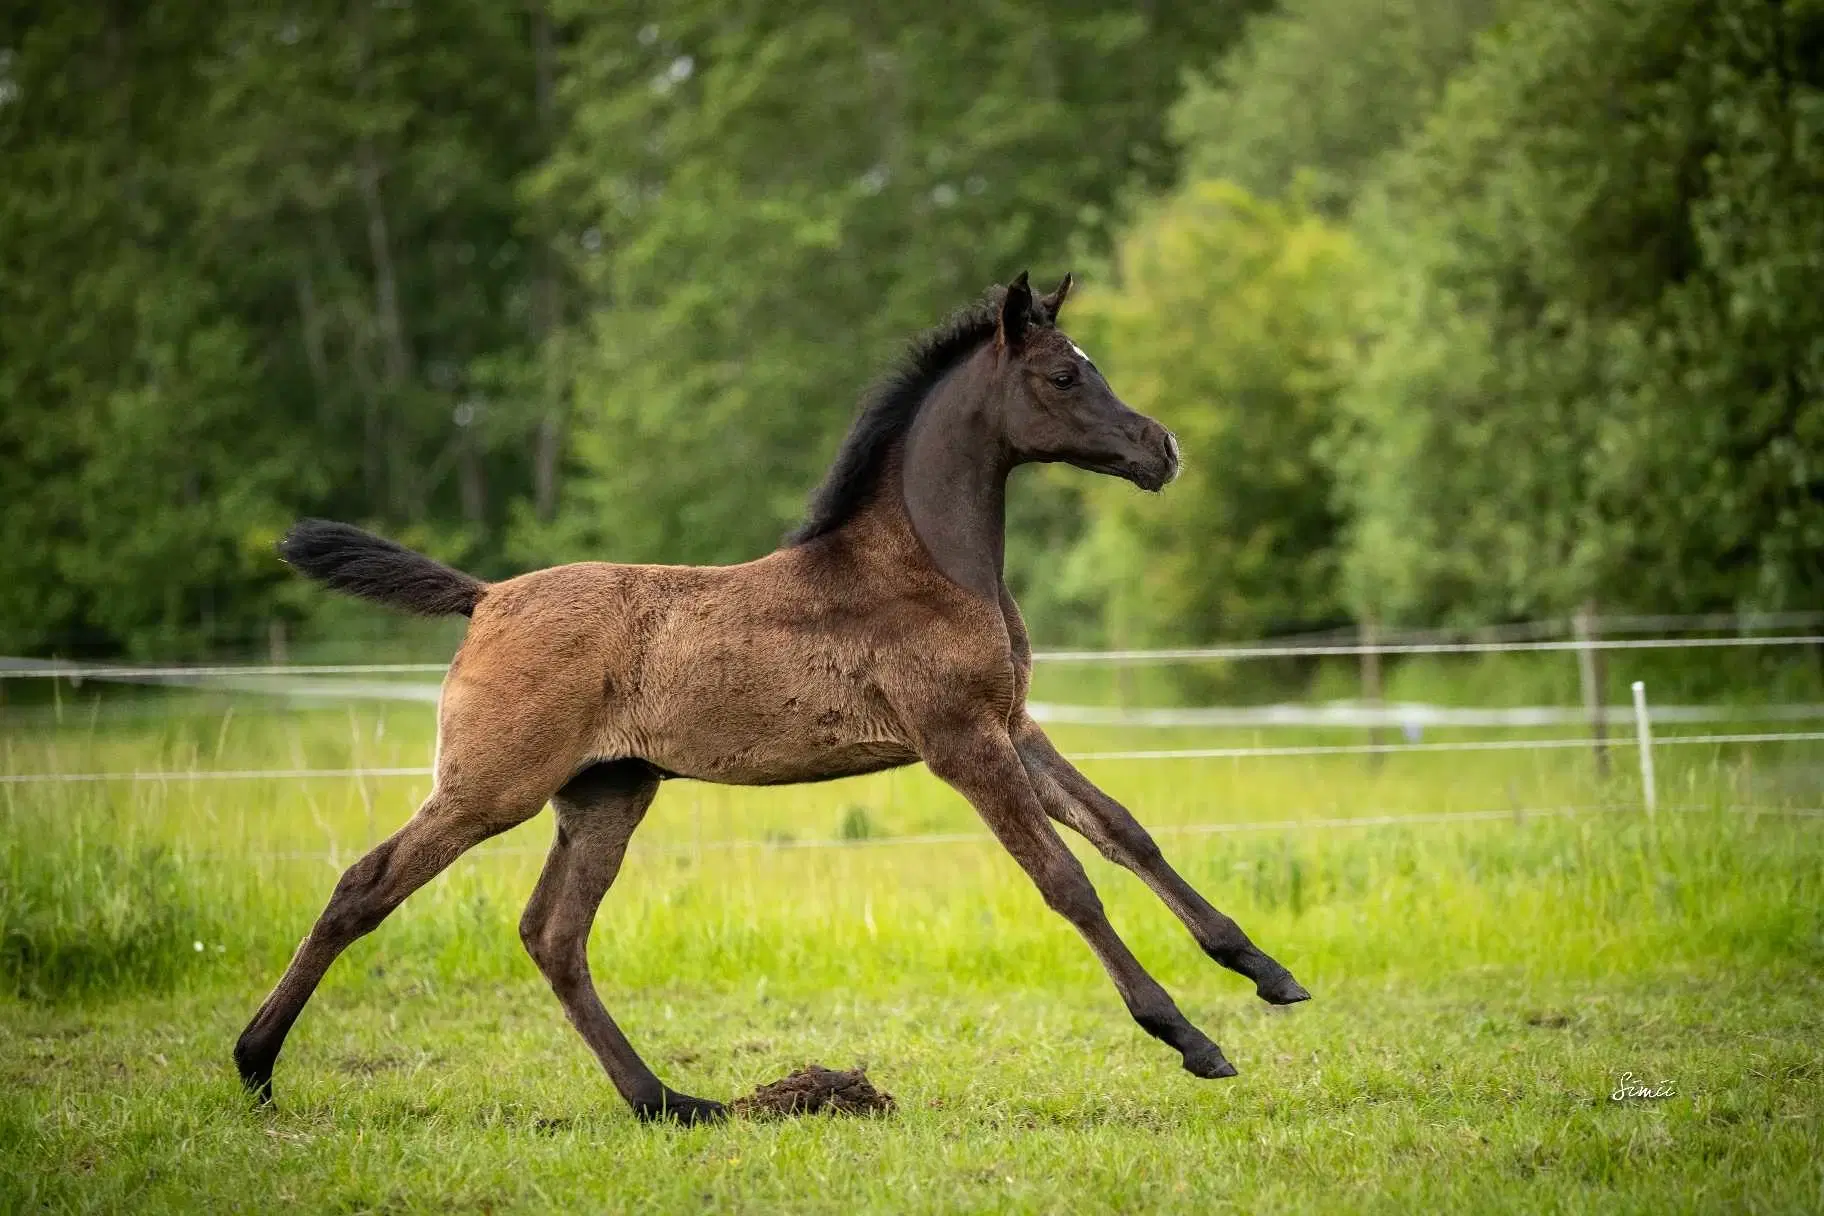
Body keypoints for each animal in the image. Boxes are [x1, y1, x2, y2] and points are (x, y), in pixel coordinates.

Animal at [235, 271, 1305, 1130]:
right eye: (1064, 377)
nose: (1163, 448)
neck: (926, 565)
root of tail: (486, 596)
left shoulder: (1012, 724)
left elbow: (1127, 833)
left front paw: (1269, 973)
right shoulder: (960, 740)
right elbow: (1065, 878)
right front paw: (1190, 1039)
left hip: (607, 792)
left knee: (554, 934)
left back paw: (671, 1102)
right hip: (489, 786)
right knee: (364, 887)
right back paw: (254, 1068)